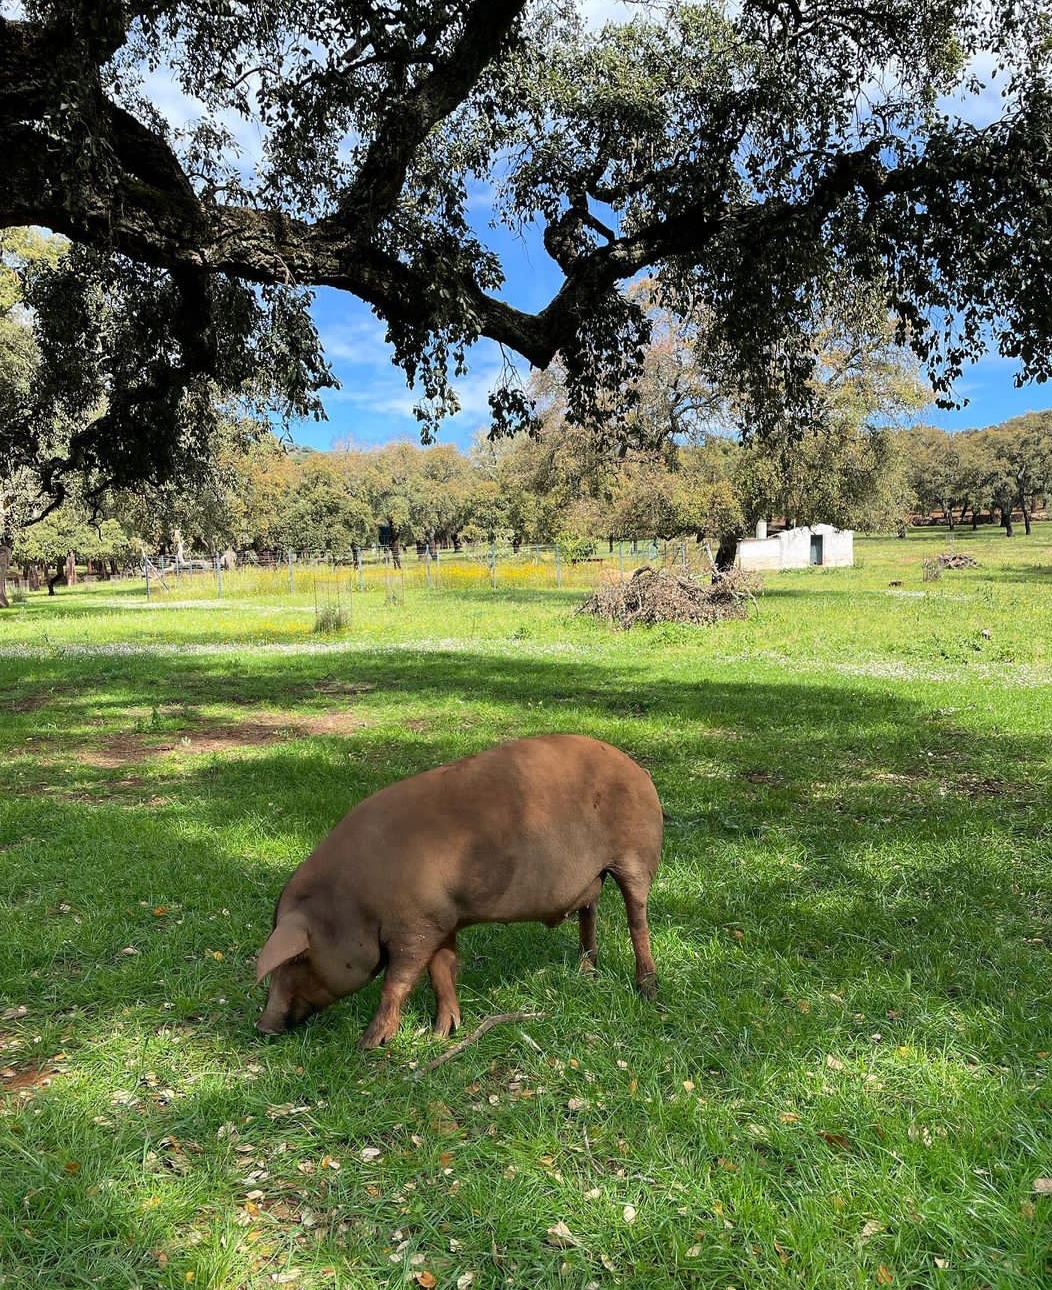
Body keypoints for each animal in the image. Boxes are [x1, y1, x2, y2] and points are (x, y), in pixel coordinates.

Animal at [255, 737, 660, 1047]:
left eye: (296, 959)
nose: (263, 1026)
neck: (354, 901)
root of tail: (639, 770)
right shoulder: (441, 919)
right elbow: (442, 971)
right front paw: (442, 1033)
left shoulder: (415, 926)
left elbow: (397, 982)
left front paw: (368, 1044)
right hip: (593, 878)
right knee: (590, 913)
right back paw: (586, 972)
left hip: (636, 858)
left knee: (637, 920)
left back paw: (647, 990)